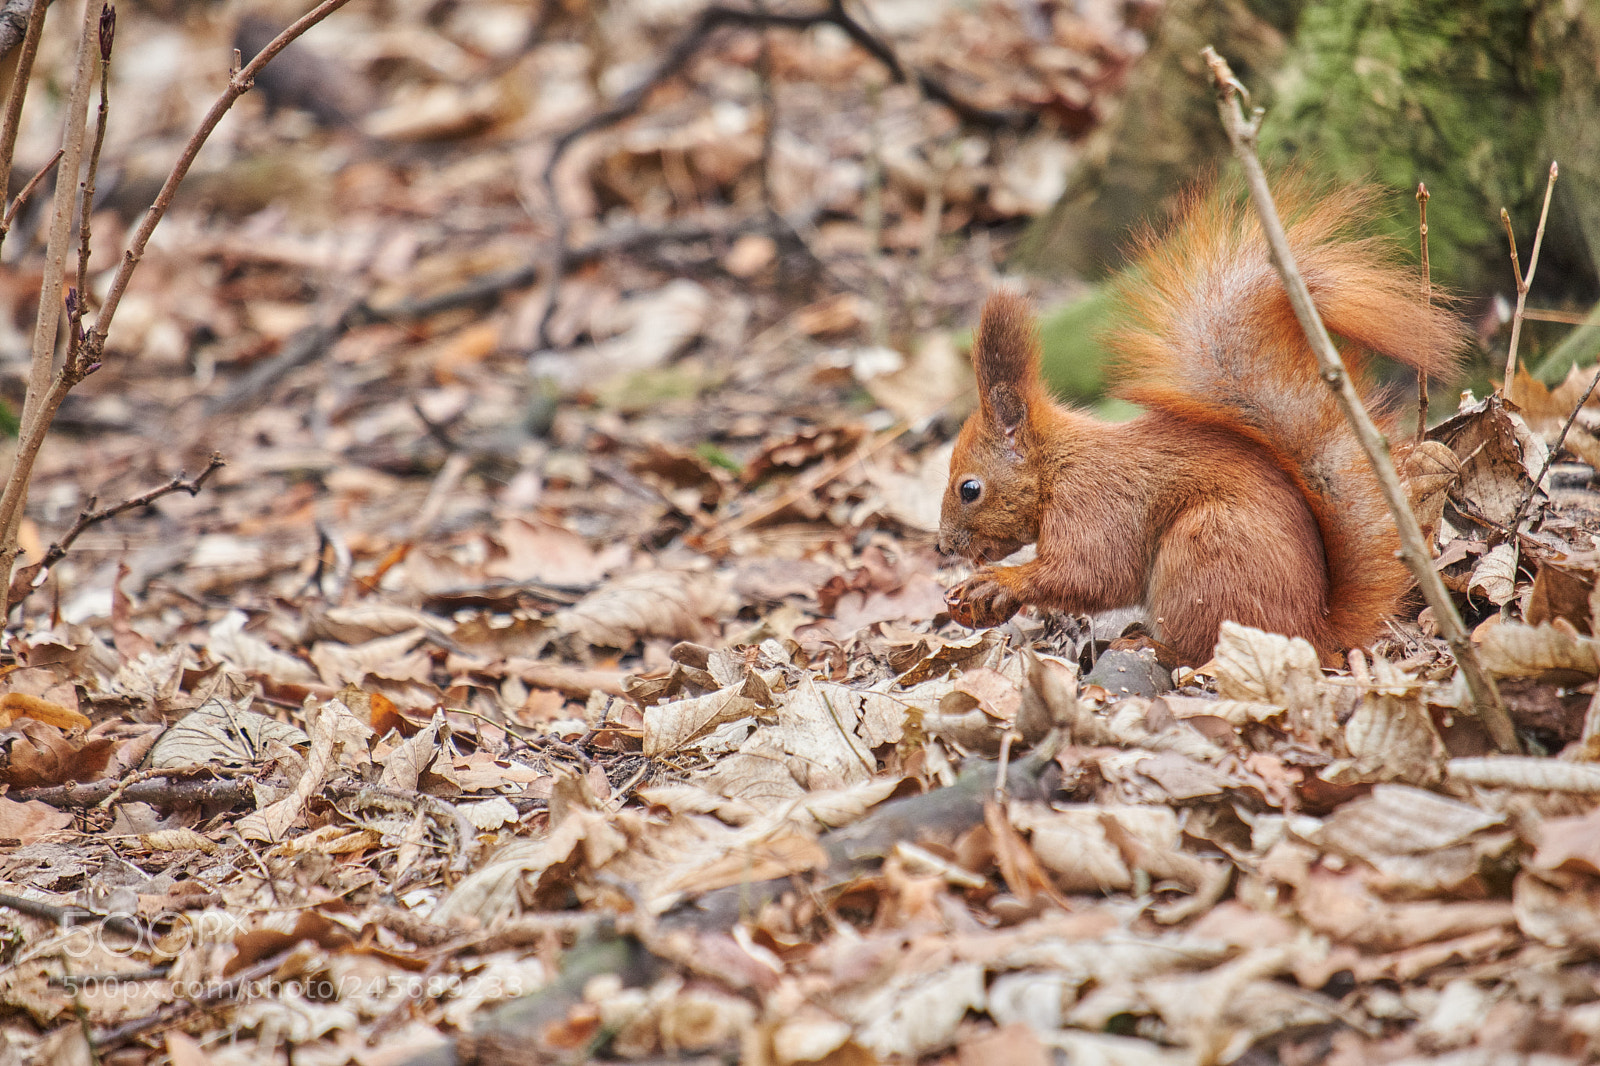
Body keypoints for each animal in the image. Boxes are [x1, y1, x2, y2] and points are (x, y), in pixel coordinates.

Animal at [938, 180, 1467, 666]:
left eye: (970, 489)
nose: (943, 547)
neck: (1055, 466)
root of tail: (1314, 631)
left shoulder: (1093, 504)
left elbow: (1091, 573)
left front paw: (1000, 582)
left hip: (1203, 556)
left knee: (1199, 652)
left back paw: (1150, 645)